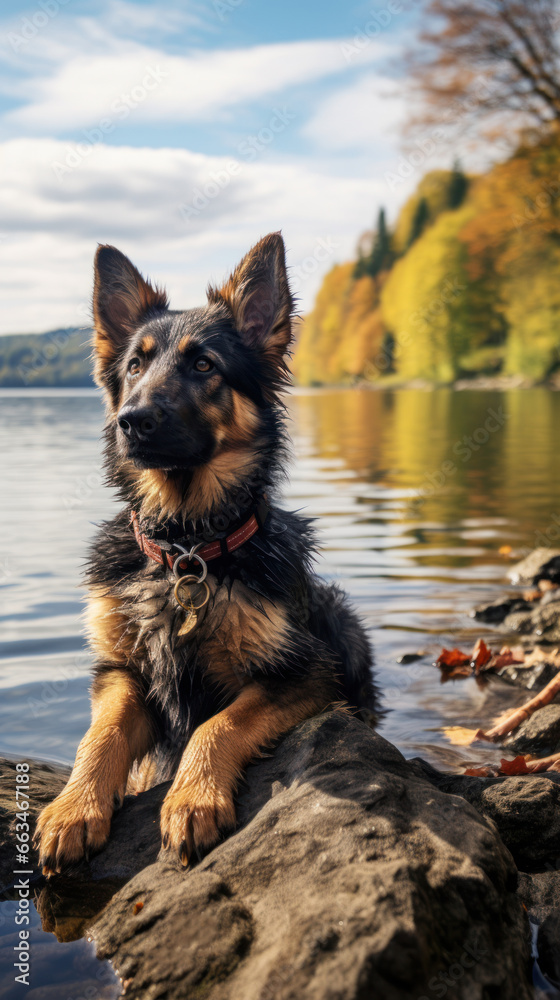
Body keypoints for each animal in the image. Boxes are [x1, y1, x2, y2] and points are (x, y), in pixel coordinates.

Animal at [34, 230, 376, 872]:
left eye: (203, 364)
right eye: (136, 365)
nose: (132, 420)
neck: (185, 547)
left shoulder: (304, 674)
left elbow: (217, 723)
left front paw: (192, 799)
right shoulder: (123, 672)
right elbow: (100, 737)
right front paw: (74, 808)